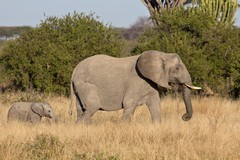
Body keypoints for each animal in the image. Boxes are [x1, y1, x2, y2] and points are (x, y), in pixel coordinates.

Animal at [69, 50, 201, 124]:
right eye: (177, 68)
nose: (184, 117)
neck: (161, 55)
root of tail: (74, 72)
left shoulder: (150, 83)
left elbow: (155, 104)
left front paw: (158, 125)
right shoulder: (136, 81)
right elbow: (129, 103)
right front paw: (123, 127)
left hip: (79, 88)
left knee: (82, 109)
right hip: (86, 85)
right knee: (92, 106)